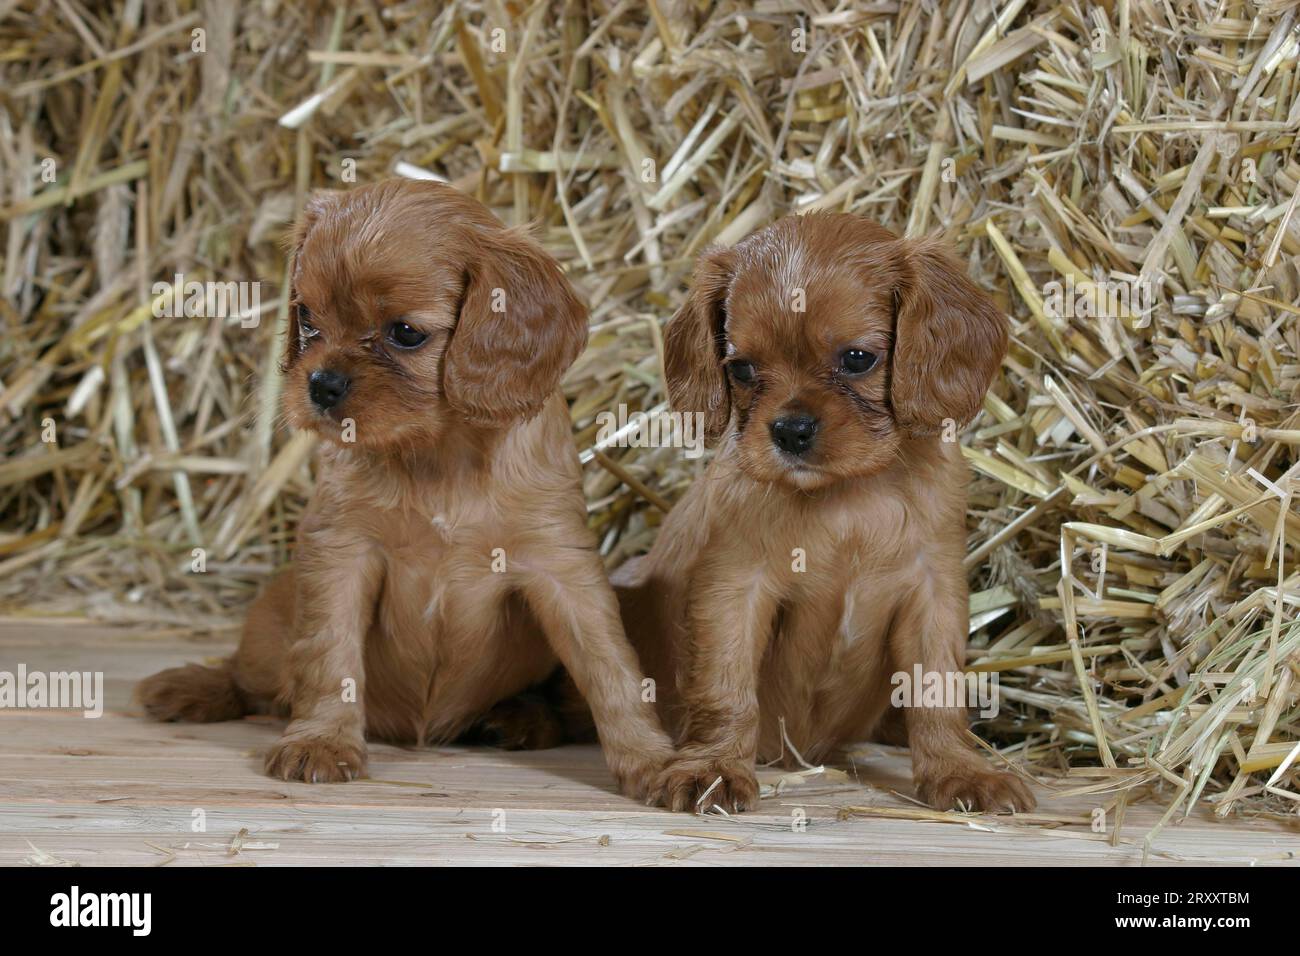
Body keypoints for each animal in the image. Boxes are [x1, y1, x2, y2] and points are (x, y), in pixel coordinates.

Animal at [138, 179, 676, 801]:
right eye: (307, 318)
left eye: (405, 333)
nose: (319, 384)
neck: (438, 454)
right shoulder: (342, 553)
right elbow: (328, 654)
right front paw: (321, 742)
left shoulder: (563, 570)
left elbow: (611, 668)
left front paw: (654, 760)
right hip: (267, 631)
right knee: (248, 676)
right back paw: (191, 687)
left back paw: (518, 720)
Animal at [618, 214, 1034, 816]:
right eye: (742, 368)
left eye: (857, 358)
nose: (789, 430)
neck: (849, 500)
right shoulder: (733, 590)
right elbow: (725, 687)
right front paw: (713, 769)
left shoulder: (934, 593)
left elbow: (936, 689)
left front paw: (960, 771)